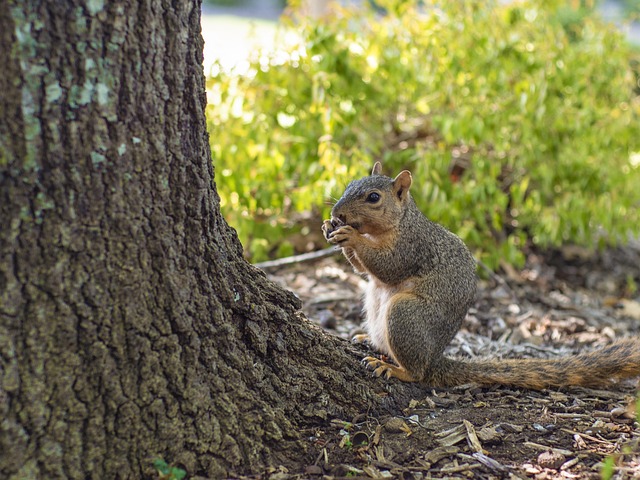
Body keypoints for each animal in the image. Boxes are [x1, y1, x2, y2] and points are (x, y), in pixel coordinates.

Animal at [322, 162, 640, 390]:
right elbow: (363, 269)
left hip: (407, 315)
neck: (398, 223)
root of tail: (435, 359)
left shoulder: (413, 246)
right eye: (349, 185)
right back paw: (368, 340)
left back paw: (394, 368)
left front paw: (351, 236)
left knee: (417, 372)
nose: (337, 212)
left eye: (373, 198)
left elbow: (388, 265)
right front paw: (329, 227)